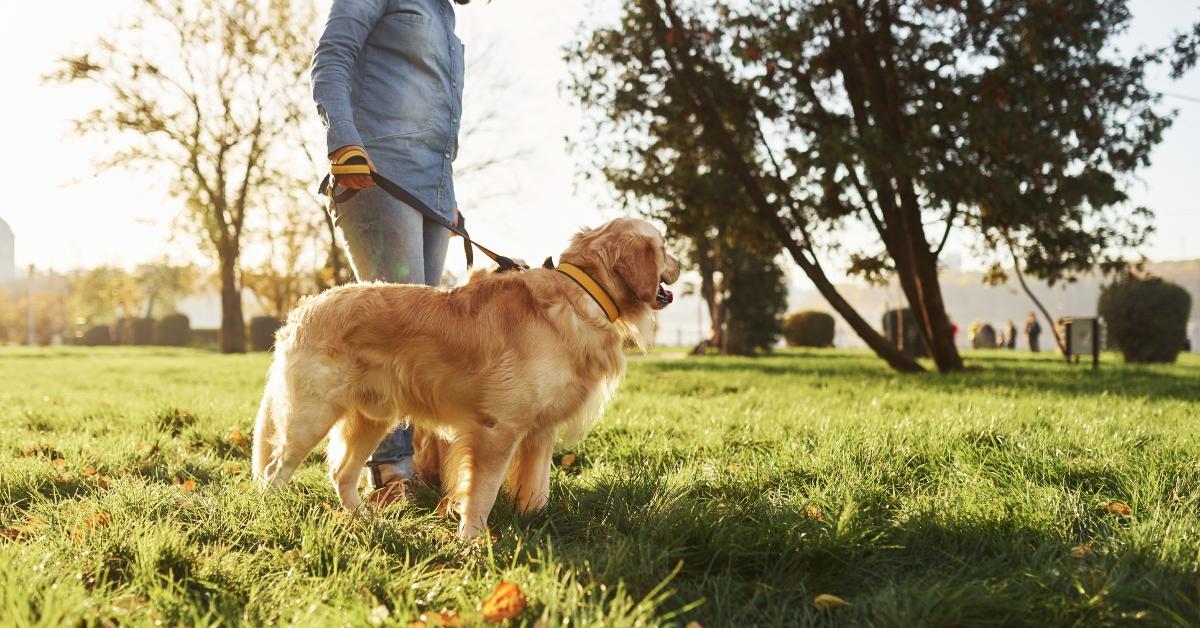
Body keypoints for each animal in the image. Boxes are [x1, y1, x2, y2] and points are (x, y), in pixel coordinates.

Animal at [250, 218, 676, 537]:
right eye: (663, 246)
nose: (679, 264)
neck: (581, 294)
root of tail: (303, 311)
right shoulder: (496, 430)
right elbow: (481, 493)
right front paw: (472, 540)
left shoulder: (540, 432)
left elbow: (537, 488)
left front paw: (535, 523)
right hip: (311, 416)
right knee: (274, 473)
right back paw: (272, 515)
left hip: (373, 418)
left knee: (341, 474)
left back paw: (367, 521)